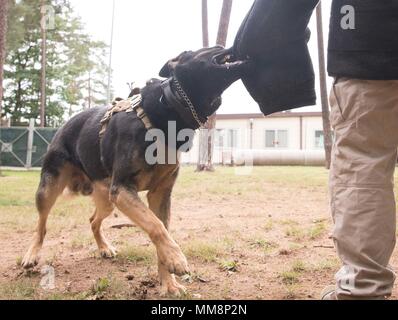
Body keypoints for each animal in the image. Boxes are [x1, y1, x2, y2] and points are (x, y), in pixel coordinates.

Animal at [22, 45, 246, 298]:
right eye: (202, 49)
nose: (227, 46)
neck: (169, 106)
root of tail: (65, 124)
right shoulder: (123, 189)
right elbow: (157, 227)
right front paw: (177, 259)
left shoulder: (157, 195)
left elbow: (160, 230)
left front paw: (168, 282)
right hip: (50, 189)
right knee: (41, 225)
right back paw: (31, 255)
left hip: (108, 200)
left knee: (93, 220)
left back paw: (104, 247)